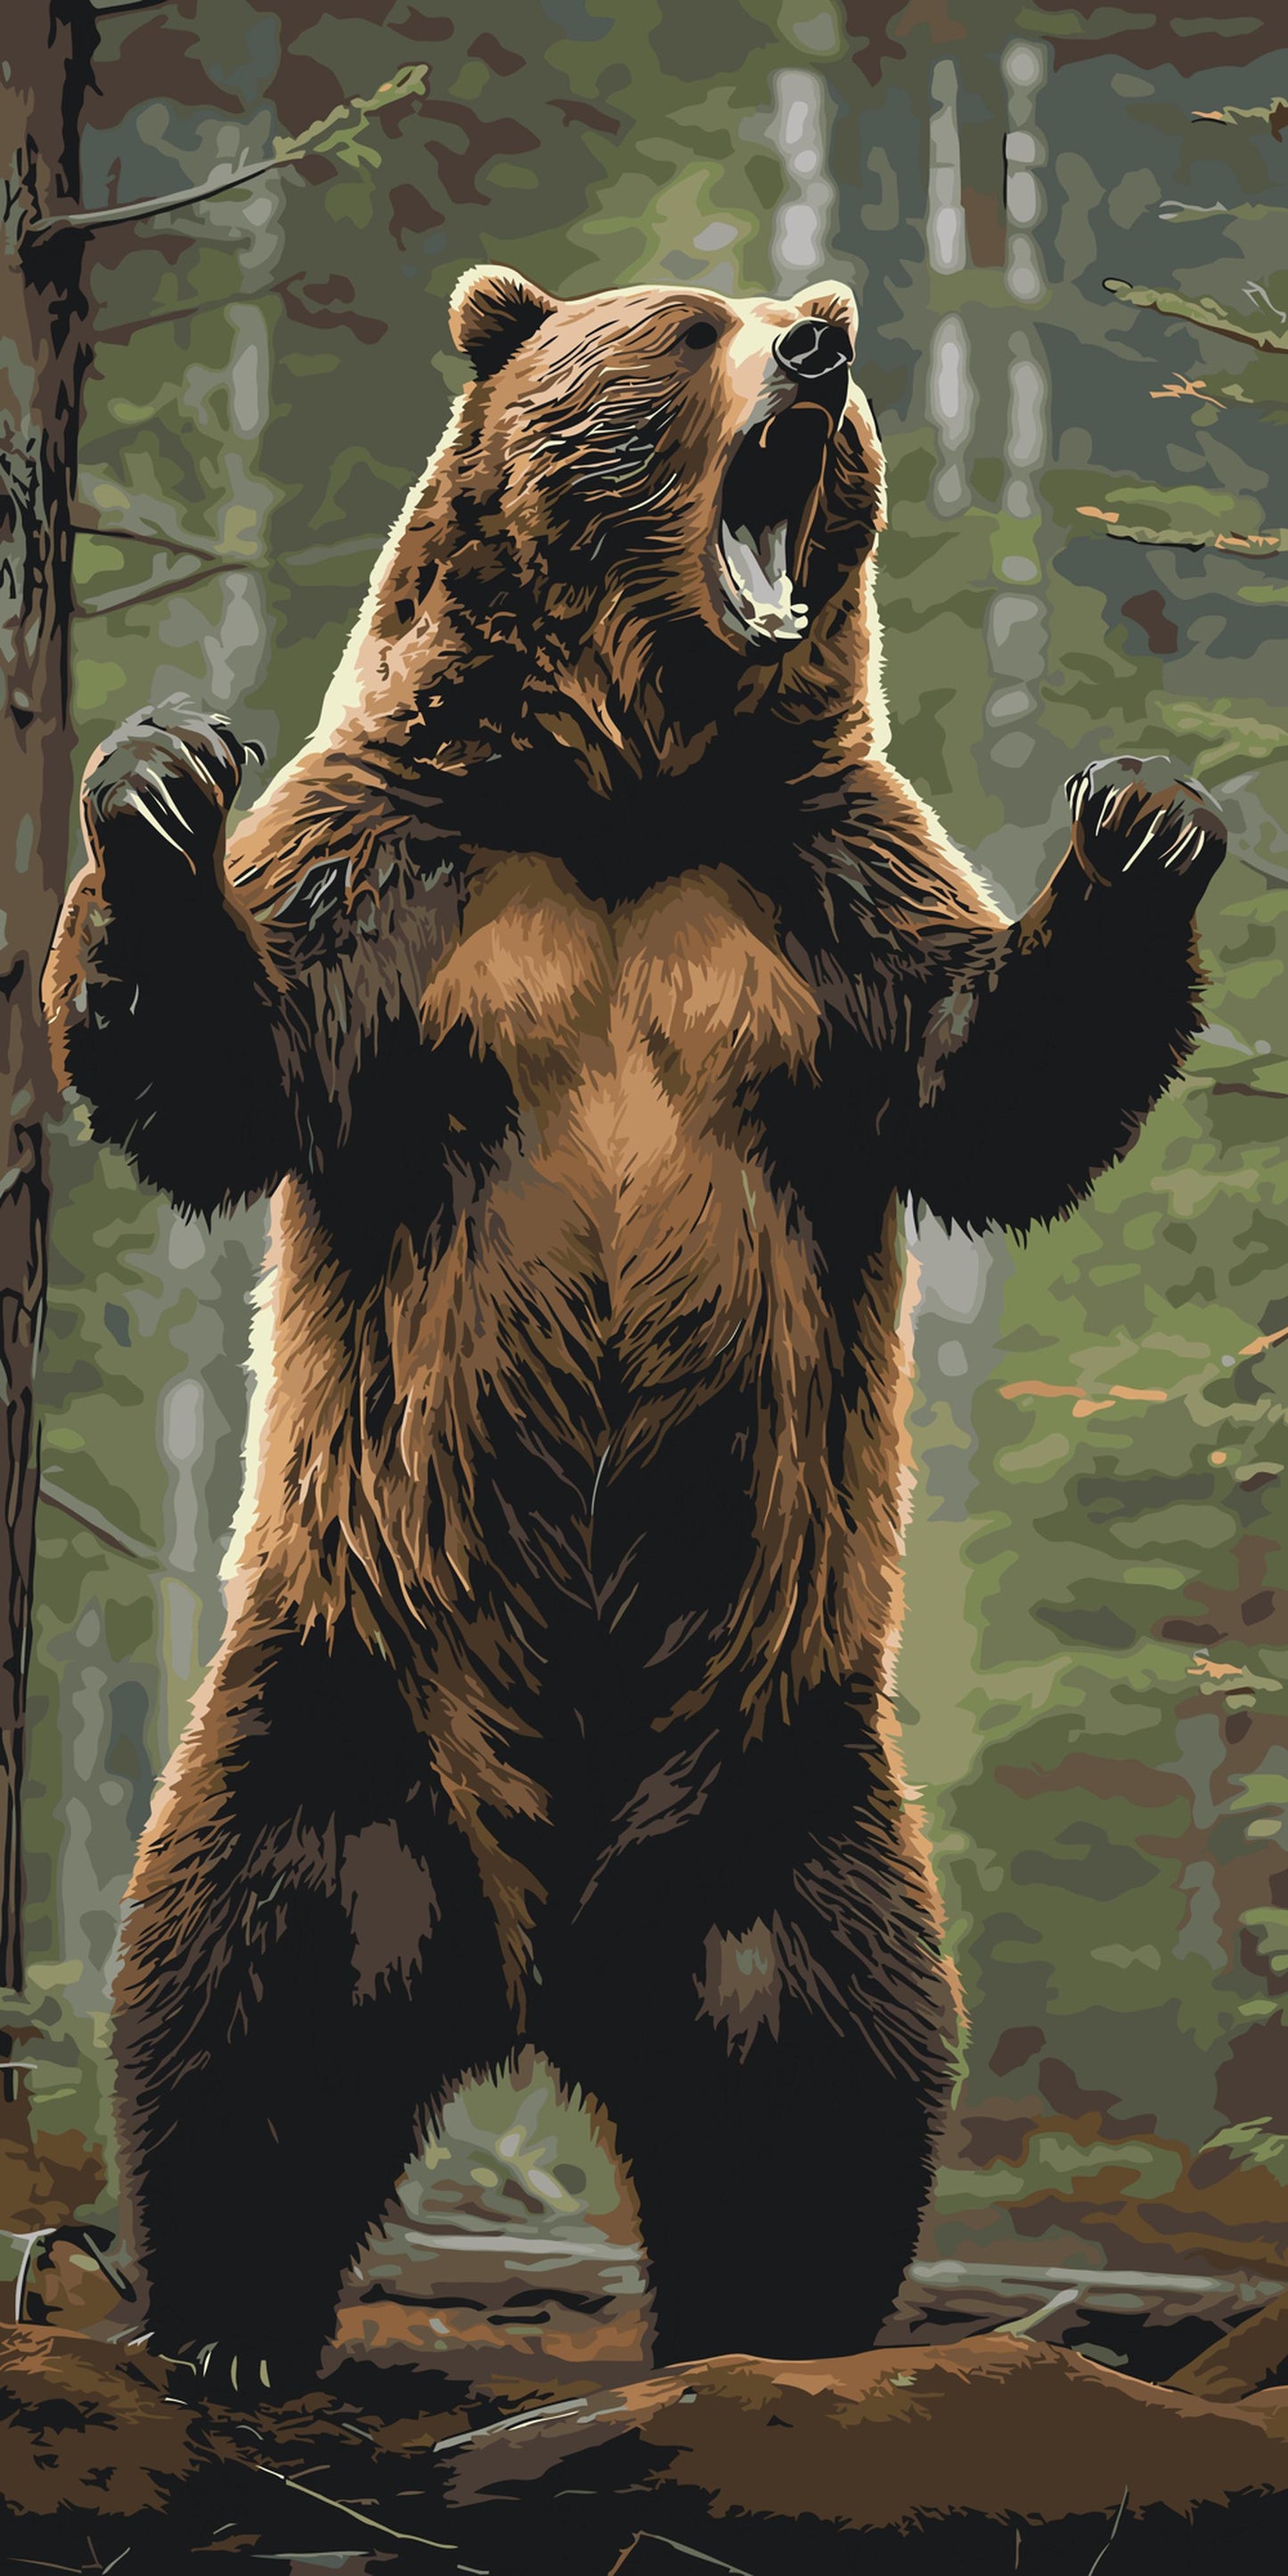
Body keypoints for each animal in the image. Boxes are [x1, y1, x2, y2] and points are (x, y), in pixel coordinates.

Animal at [43, 266, 1227, 2398]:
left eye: (811, 310)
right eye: (687, 327)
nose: (822, 348)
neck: (619, 784)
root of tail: (538, 1959)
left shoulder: (818, 890)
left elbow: (993, 1087)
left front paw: (1146, 816)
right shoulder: (404, 870)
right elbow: (220, 1068)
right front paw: (161, 779)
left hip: (778, 1766)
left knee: (821, 2062)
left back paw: (779, 2338)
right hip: (349, 1679)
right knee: (248, 1972)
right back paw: (228, 2321)